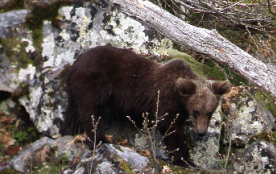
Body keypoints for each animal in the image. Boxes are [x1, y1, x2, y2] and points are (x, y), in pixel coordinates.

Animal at [60, 45, 231, 167]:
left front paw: (188, 159)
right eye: (196, 112)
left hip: (75, 90)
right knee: (91, 111)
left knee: (72, 111)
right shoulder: (164, 101)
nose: (201, 132)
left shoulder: (180, 110)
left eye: (209, 112)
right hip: (94, 83)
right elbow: (169, 128)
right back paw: (100, 139)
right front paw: (182, 159)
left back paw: (68, 131)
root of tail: (75, 64)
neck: (180, 98)